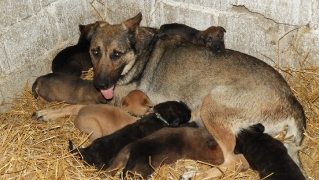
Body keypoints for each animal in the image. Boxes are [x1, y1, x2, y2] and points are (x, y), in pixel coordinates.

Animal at [35, 12, 308, 179]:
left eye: (116, 54)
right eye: (95, 52)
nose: (101, 84)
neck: (138, 54)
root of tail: (292, 101)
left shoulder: (117, 101)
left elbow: (76, 107)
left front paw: (50, 112)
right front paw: (50, 112)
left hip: (211, 106)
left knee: (235, 161)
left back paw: (194, 174)